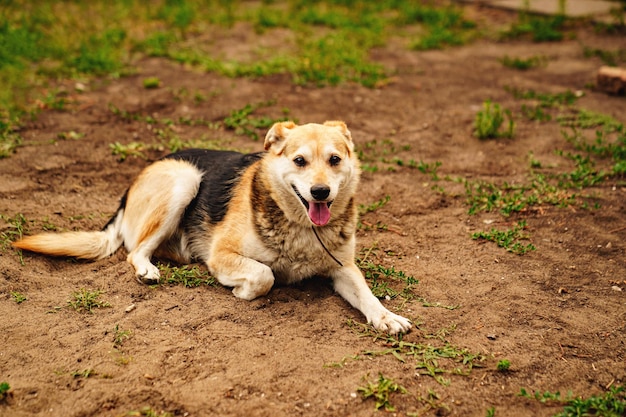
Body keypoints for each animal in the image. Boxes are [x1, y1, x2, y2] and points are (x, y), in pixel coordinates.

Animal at [13, 120, 410, 332]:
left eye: (335, 159)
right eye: (300, 161)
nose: (321, 192)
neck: (301, 227)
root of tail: (131, 187)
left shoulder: (344, 268)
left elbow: (368, 295)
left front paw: (386, 317)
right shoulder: (222, 254)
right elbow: (264, 275)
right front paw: (241, 291)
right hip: (185, 180)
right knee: (135, 251)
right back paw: (148, 270)